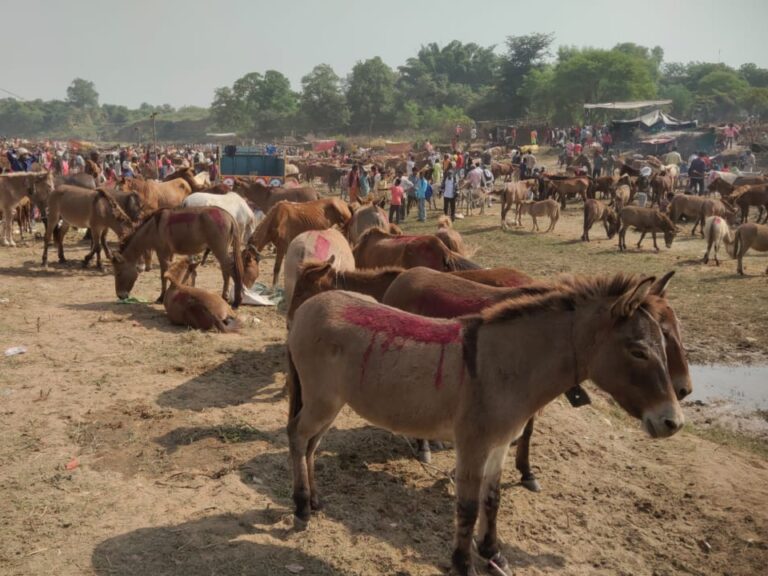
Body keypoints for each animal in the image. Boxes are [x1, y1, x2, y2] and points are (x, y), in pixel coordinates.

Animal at [111, 206, 242, 306]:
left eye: (118, 273)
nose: (120, 296)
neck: (153, 228)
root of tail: (229, 216)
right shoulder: (170, 253)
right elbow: (170, 271)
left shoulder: (162, 252)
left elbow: (163, 274)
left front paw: (161, 297)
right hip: (220, 250)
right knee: (225, 271)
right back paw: (225, 297)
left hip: (219, 249)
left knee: (231, 269)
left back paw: (237, 301)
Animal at [284, 274, 688, 576]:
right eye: (639, 351)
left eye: (664, 343)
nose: (673, 422)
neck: (506, 366)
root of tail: (309, 305)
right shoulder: (473, 445)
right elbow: (467, 507)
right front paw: (463, 564)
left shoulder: (499, 443)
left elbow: (493, 500)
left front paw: (493, 552)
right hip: (321, 399)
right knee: (297, 436)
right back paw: (301, 506)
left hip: (332, 402)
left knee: (312, 443)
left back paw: (315, 500)